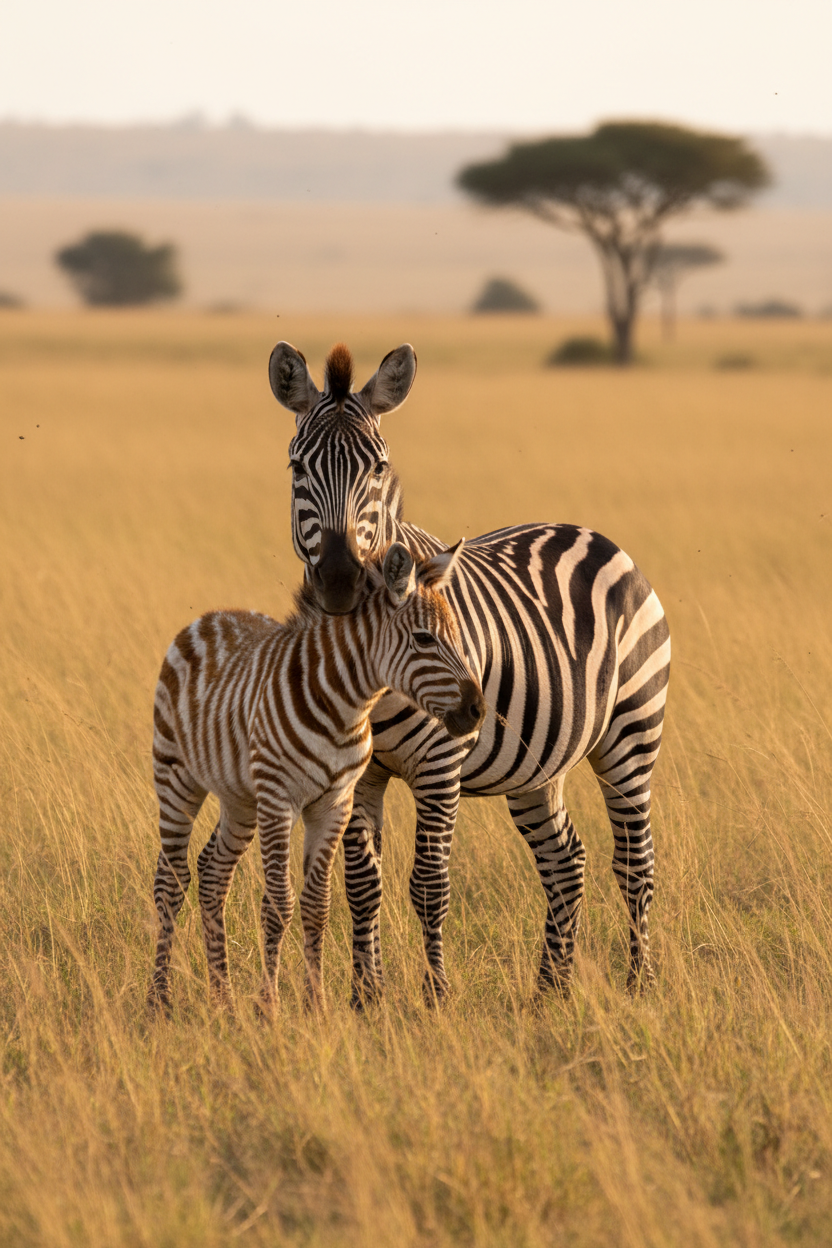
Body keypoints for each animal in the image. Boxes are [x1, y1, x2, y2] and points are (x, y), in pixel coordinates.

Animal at [148, 540, 485, 1010]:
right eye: (424, 639)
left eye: (456, 635)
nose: (478, 710)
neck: (346, 707)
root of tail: (209, 616)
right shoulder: (279, 799)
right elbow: (279, 904)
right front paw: (268, 1007)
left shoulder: (334, 803)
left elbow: (317, 904)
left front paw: (315, 1004)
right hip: (176, 776)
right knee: (171, 878)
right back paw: (159, 1000)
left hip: (240, 799)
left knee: (213, 873)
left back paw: (223, 999)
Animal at [268, 340, 671, 1003]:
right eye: (297, 468)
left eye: (379, 468)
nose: (340, 580)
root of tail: (589, 532)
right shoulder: (359, 772)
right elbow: (361, 885)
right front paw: (366, 999)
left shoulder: (439, 767)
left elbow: (429, 886)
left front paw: (435, 997)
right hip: (537, 767)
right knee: (567, 860)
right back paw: (550, 992)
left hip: (631, 733)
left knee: (634, 861)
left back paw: (640, 985)